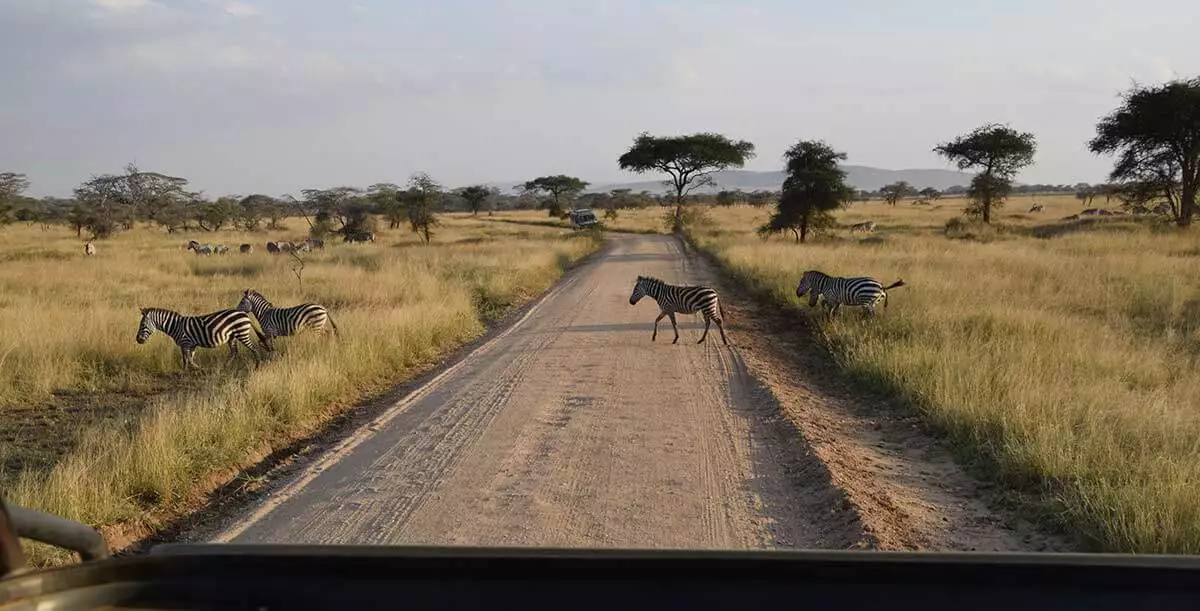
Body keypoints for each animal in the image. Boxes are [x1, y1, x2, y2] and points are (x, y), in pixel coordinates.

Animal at [136, 304, 267, 367]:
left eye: (142, 325)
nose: (137, 340)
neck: (175, 326)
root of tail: (244, 313)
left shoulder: (186, 342)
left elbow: (189, 360)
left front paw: (199, 369)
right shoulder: (189, 345)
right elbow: (186, 360)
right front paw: (185, 373)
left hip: (242, 333)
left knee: (253, 348)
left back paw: (257, 365)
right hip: (232, 337)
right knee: (234, 352)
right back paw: (225, 366)